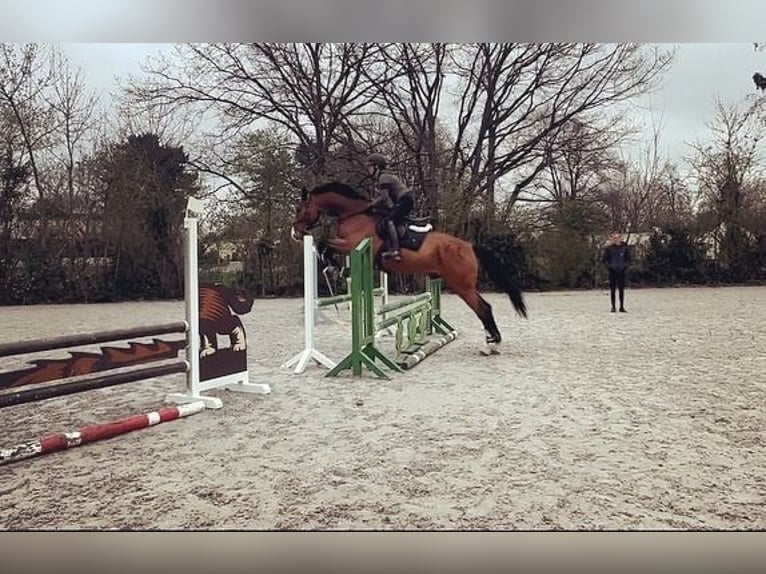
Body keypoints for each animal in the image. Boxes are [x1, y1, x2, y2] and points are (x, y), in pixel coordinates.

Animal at [292, 183, 528, 356]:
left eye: (300, 209)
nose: (295, 233)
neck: (354, 214)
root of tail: (469, 246)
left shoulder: (352, 245)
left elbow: (324, 244)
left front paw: (333, 268)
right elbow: (324, 245)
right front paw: (333, 268)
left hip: (462, 286)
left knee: (484, 309)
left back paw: (491, 345)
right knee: (484, 309)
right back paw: (492, 343)